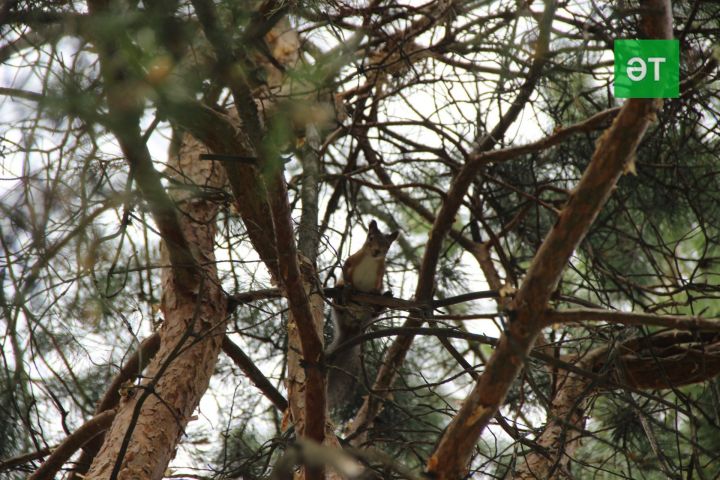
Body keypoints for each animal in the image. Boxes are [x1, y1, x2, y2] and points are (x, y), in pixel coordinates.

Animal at [326, 220, 400, 416]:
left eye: (387, 245)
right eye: (371, 237)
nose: (377, 252)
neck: (370, 261)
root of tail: (350, 329)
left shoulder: (380, 273)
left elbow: (378, 285)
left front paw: (377, 293)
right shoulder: (351, 261)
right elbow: (345, 273)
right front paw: (348, 287)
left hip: (368, 313)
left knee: (374, 312)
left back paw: (382, 302)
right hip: (338, 309)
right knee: (339, 303)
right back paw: (340, 296)